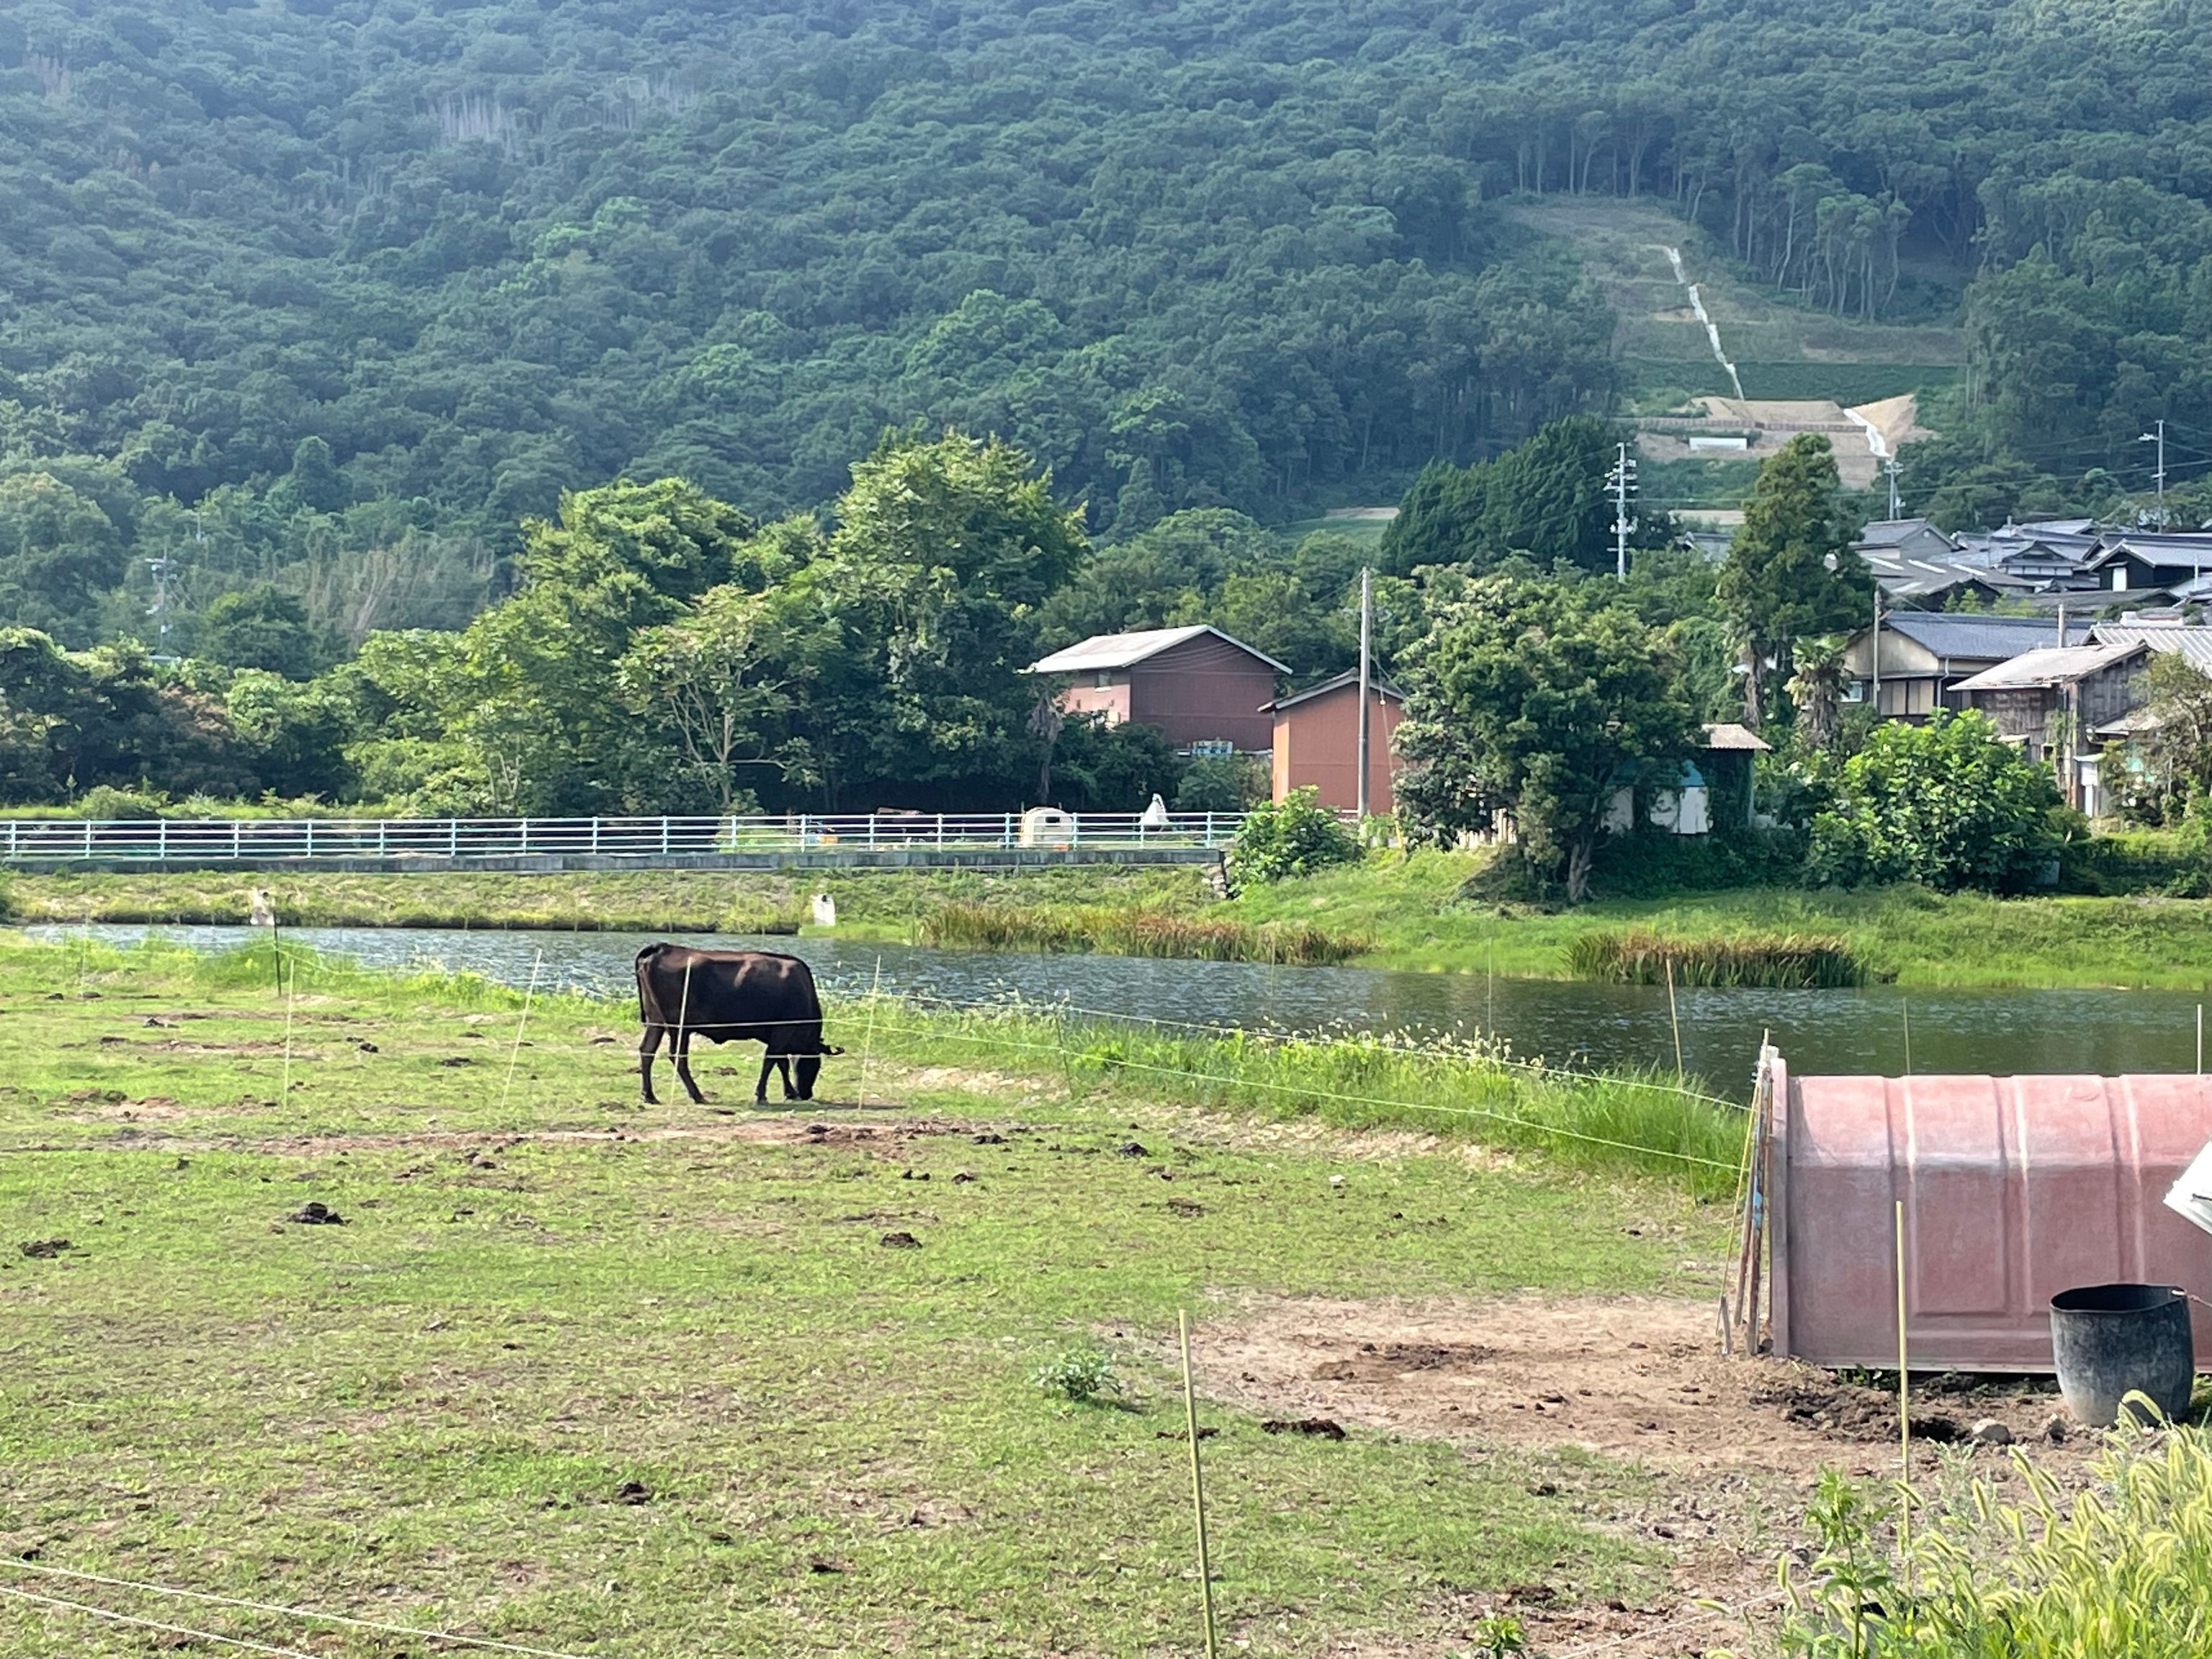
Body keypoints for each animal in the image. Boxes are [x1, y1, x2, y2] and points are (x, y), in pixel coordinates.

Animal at [646, 946, 849, 1106]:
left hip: (655, 1021)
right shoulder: (783, 1031)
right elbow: (771, 1061)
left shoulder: (776, 1035)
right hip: (679, 1027)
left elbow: (781, 1062)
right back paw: (698, 1096)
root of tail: (662, 948)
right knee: (677, 1056)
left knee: (647, 1051)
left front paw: (789, 1092)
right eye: (816, 1064)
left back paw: (650, 1096)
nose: (807, 1094)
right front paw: (762, 1095)